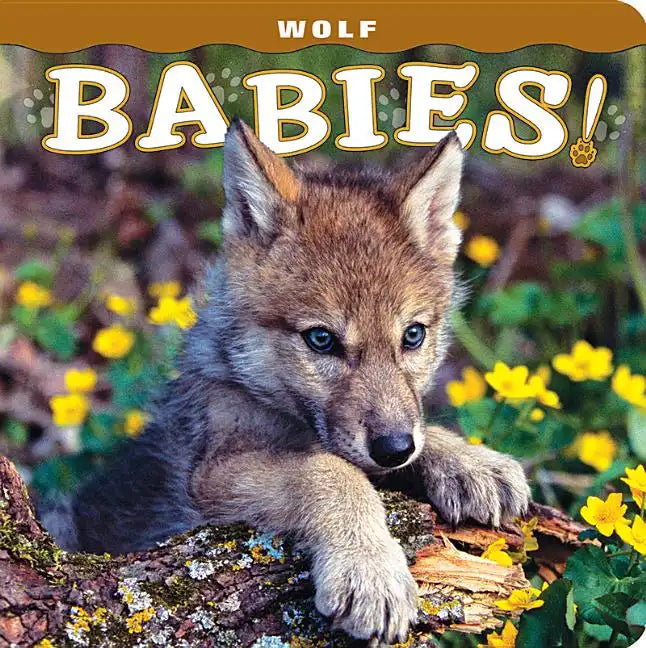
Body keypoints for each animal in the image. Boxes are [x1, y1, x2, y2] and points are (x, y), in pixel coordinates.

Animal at [42, 119, 530, 643]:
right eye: (321, 339)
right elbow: (330, 471)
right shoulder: (212, 476)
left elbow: (408, 434)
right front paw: (370, 571)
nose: (394, 450)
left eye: (413, 336)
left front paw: (470, 461)